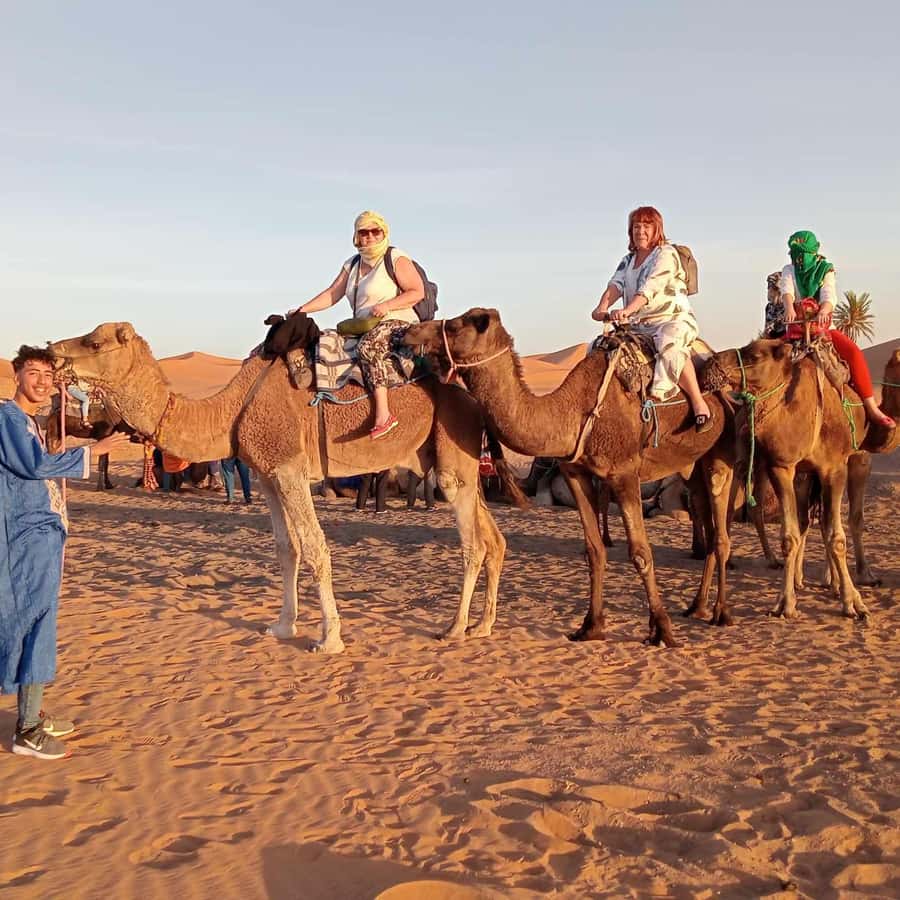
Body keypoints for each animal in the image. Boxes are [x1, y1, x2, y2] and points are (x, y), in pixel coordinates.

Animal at [50, 322, 522, 651]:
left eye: (94, 342)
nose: (52, 351)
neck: (229, 410)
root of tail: (474, 402)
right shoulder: (268, 475)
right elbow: (286, 548)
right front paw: (282, 625)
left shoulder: (291, 469)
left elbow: (315, 547)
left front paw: (329, 639)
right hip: (459, 463)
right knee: (494, 539)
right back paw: (483, 625)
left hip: (452, 458)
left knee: (473, 543)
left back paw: (455, 628)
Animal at [405, 308, 735, 647]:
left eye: (456, 325)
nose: (409, 332)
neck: (574, 411)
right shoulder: (576, 473)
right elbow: (594, 550)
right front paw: (591, 626)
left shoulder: (624, 473)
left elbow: (641, 554)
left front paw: (663, 630)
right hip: (692, 465)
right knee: (706, 517)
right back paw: (697, 607)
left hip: (723, 452)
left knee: (721, 533)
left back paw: (721, 613)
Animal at [687, 341, 899, 625]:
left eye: (755, 355)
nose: (710, 363)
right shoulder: (783, 467)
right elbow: (794, 535)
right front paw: (786, 603)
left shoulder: (838, 466)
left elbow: (837, 532)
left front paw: (852, 597)